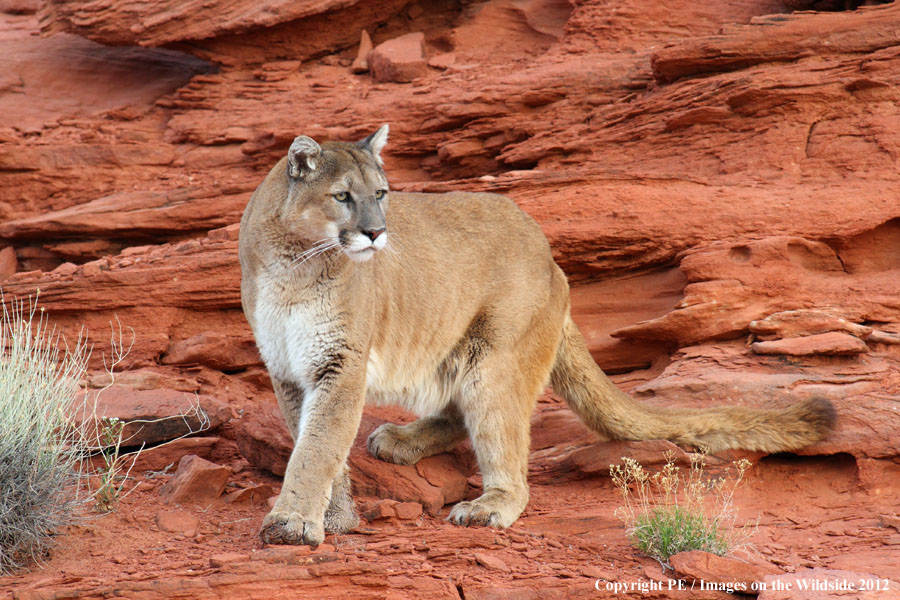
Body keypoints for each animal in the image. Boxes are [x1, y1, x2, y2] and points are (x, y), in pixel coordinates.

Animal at [241, 124, 836, 548]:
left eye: (382, 193)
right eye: (343, 196)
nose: (376, 232)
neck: (295, 266)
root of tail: (552, 258)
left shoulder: (339, 362)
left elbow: (317, 447)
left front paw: (294, 522)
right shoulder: (290, 370)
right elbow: (314, 441)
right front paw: (334, 517)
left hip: (495, 358)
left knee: (501, 442)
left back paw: (487, 505)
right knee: (456, 412)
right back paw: (402, 440)